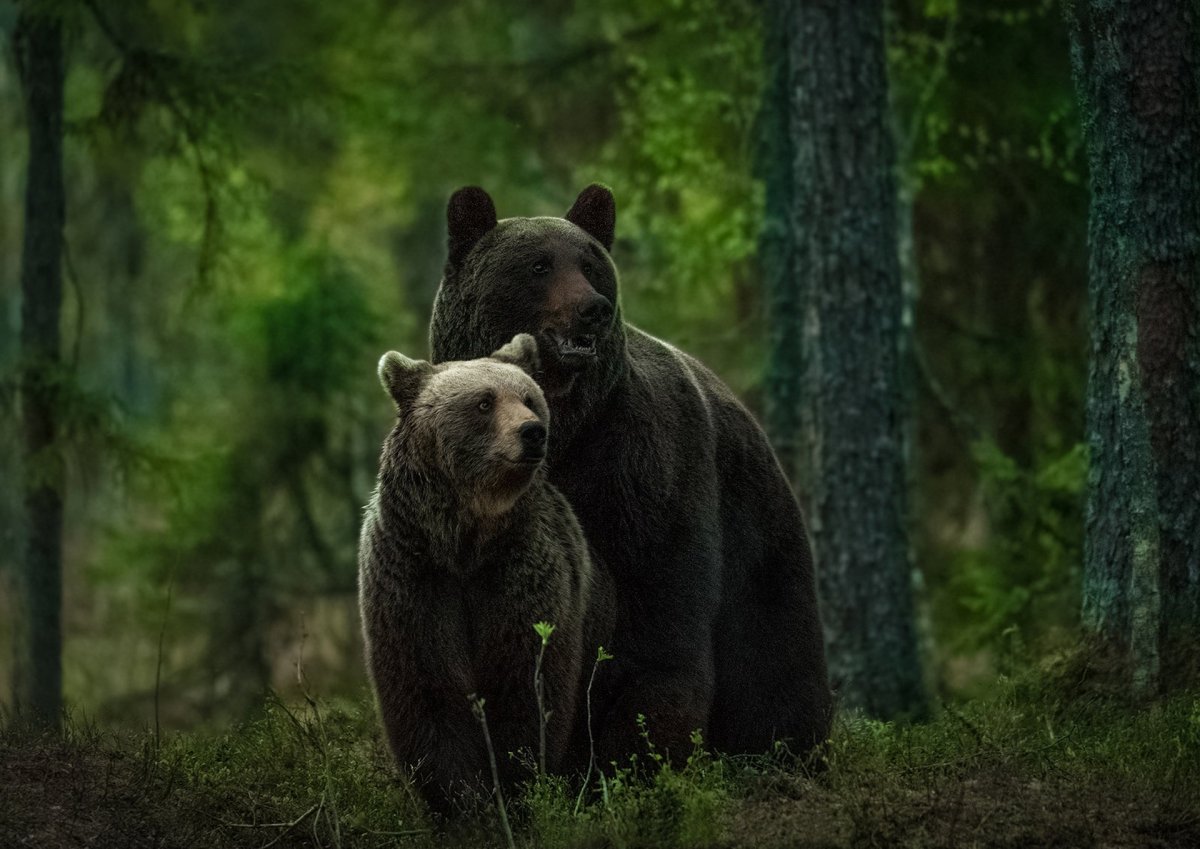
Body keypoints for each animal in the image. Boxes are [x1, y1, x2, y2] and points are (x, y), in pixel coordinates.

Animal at [358, 333, 608, 814]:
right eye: (483, 402)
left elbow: (526, 683)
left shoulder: (519, 572)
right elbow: (427, 691)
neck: (465, 541)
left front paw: (517, 785)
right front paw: (459, 799)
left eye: (529, 398)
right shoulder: (415, 575)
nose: (533, 431)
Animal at [429, 184, 833, 764]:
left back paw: (784, 745)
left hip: (758, 531)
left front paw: (638, 749)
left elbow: (660, 616)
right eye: (539, 265)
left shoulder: (640, 467)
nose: (593, 310)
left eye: (591, 264)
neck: (568, 424)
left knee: (773, 647)